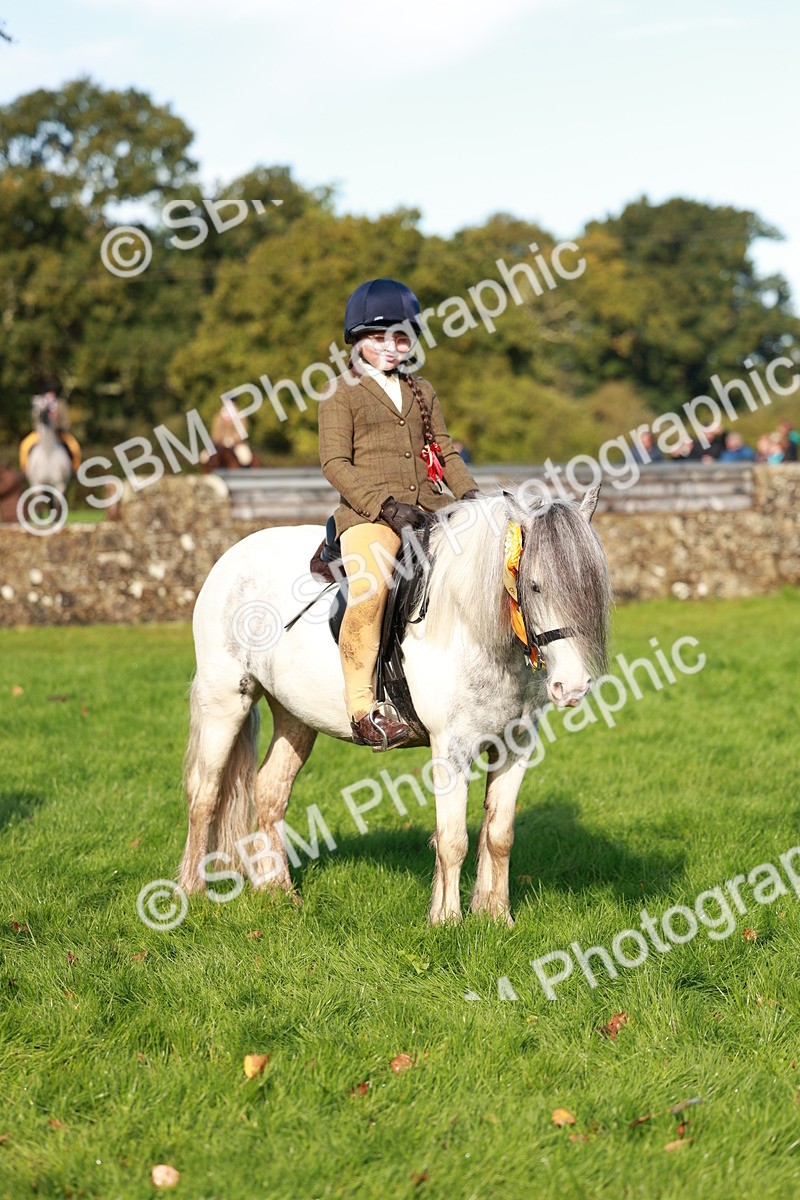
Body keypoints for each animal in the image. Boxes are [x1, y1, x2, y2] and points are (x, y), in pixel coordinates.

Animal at [178, 486, 611, 924]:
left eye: (592, 588)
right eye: (535, 586)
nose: (572, 687)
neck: (471, 628)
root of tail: (232, 557)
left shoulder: (515, 746)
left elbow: (499, 834)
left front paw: (495, 916)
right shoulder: (450, 748)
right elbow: (453, 839)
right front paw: (446, 920)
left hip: (294, 716)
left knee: (269, 791)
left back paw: (278, 892)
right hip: (224, 702)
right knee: (205, 794)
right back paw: (191, 891)